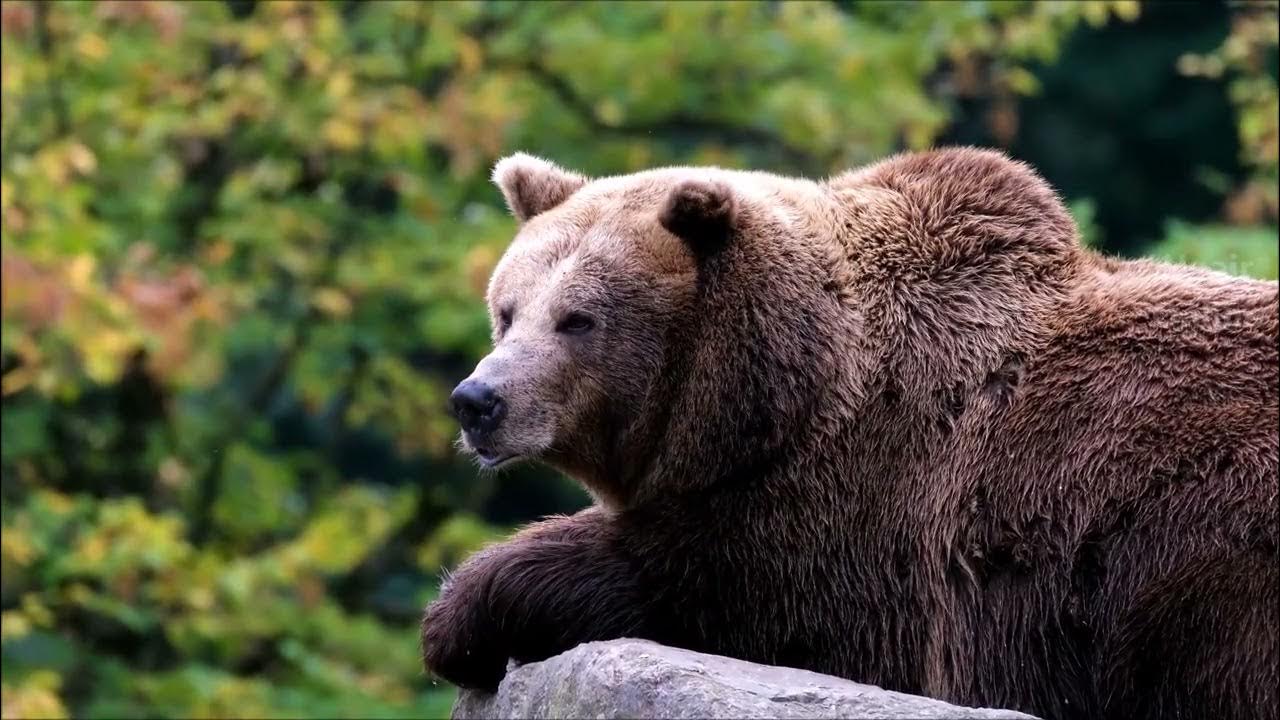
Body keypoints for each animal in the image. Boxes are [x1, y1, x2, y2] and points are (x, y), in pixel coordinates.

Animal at [422, 147, 1278, 720]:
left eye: (578, 318)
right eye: (508, 310)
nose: (478, 399)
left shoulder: (859, 513)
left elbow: (689, 579)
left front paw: (460, 615)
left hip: (1202, 553)